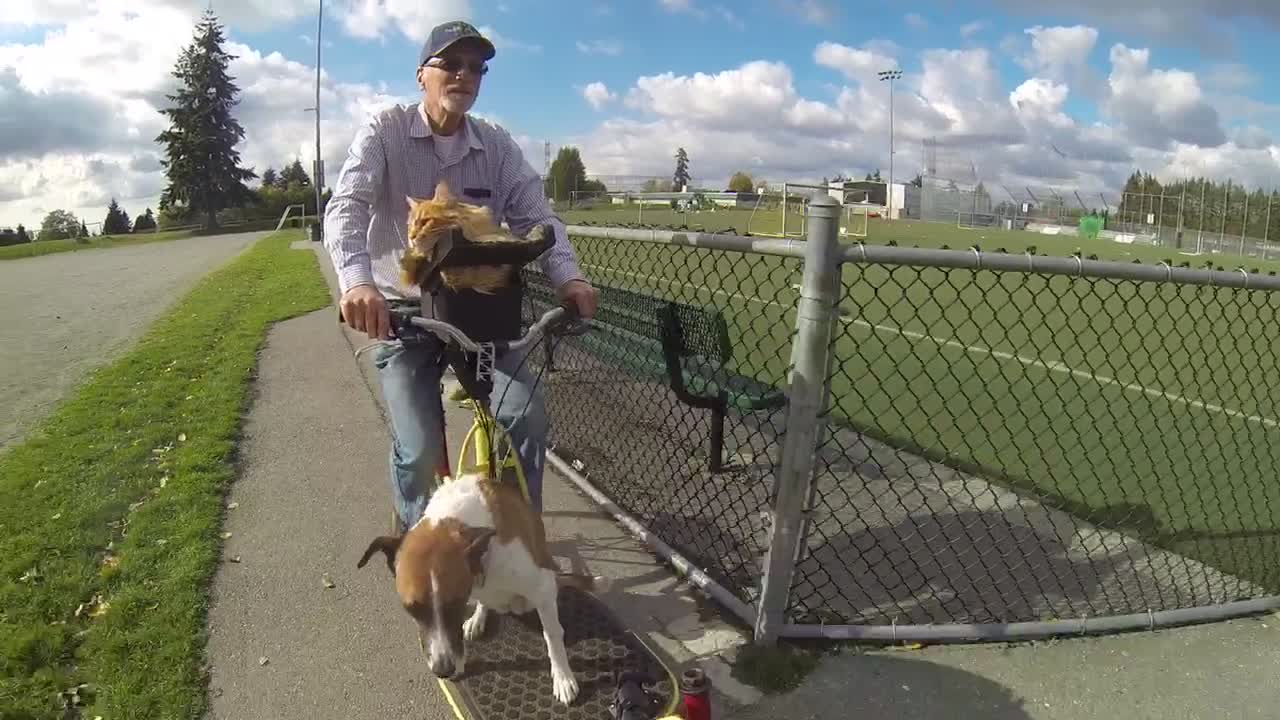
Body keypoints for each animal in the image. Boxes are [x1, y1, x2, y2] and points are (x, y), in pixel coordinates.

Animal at [355, 468, 593, 702]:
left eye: (456, 603)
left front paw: (562, 677)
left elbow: (552, 635)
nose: (443, 670)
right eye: (411, 608)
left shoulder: (542, 587)